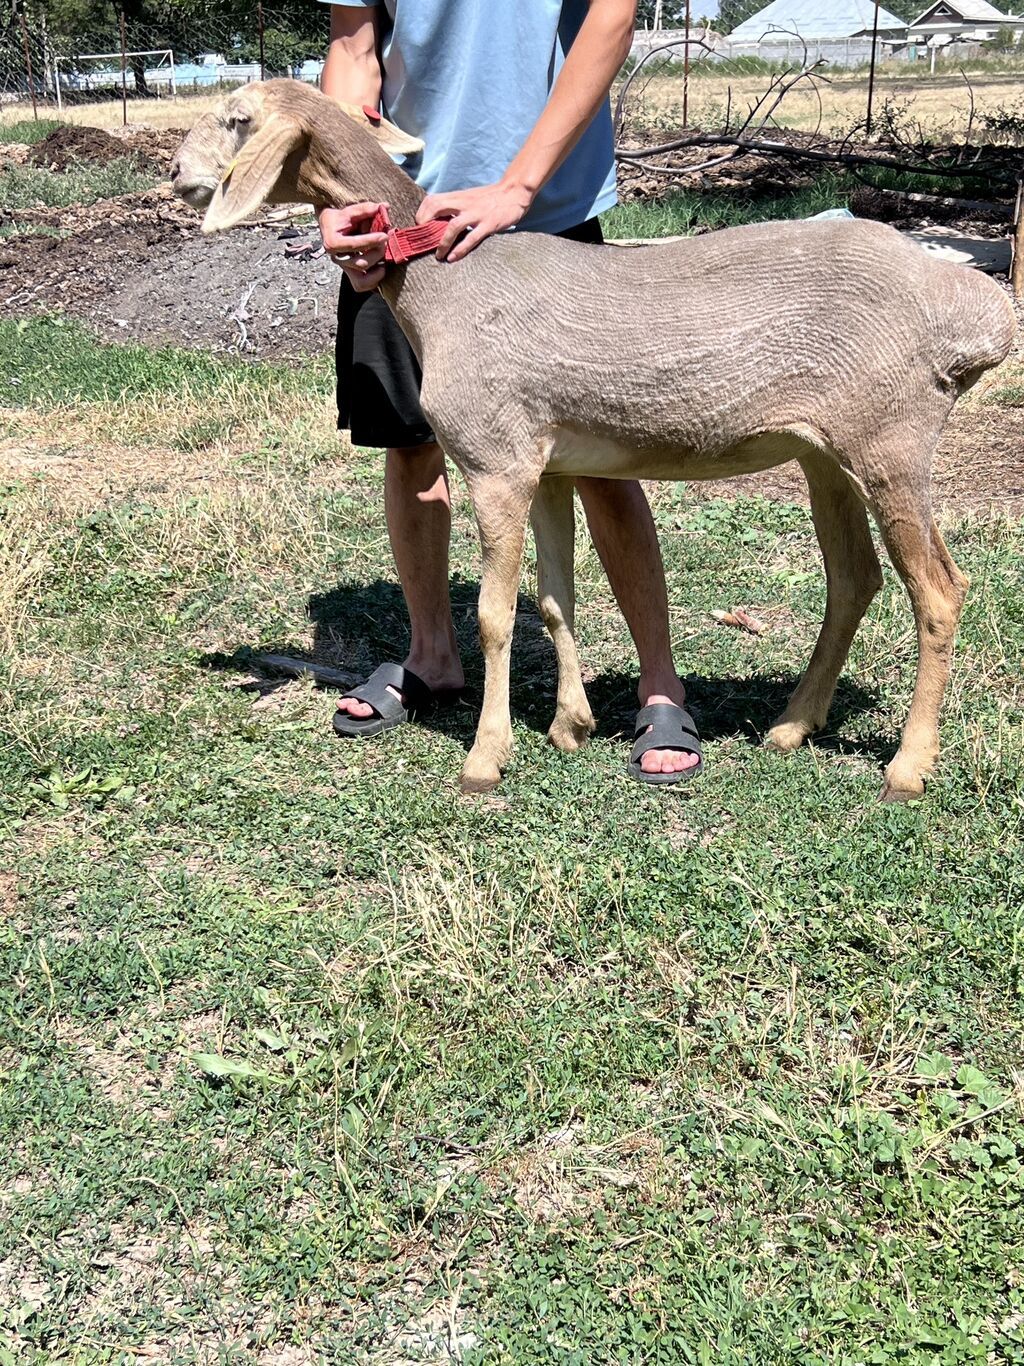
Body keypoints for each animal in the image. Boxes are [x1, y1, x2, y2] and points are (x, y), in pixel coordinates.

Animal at [171, 80, 1017, 801]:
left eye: (237, 118)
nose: (176, 173)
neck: (444, 286)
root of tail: (977, 310)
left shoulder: (496, 458)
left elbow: (494, 614)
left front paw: (485, 758)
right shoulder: (547, 462)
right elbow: (552, 600)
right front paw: (568, 726)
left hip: (892, 438)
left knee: (939, 590)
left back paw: (907, 767)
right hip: (826, 453)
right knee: (854, 579)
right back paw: (791, 726)